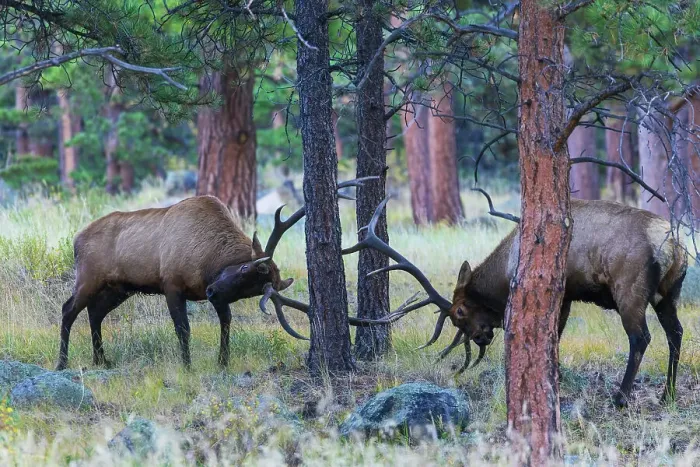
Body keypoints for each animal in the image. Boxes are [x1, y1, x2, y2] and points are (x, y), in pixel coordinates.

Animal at [56, 178, 375, 371]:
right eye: (246, 269)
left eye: (252, 291)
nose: (209, 291)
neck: (208, 262)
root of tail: (76, 239)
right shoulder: (171, 284)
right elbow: (183, 328)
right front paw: (187, 366)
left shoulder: (219, 295)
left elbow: (226, 322)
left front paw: (223, 362)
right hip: (89, 277)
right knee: (68, 308)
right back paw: (62, 363)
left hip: (119, 287)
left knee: (95, 312)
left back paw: (101, 359)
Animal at [265, 197, 688, 408]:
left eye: (459, 312)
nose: (482, 338)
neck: (505, 267)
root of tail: (673, 244)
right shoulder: (564, 293)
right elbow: (554, 337)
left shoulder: (552, 291)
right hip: (669, 293)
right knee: (677, 332)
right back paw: (667, 393)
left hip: (630, 288)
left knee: (641, 338)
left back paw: (620, 397)